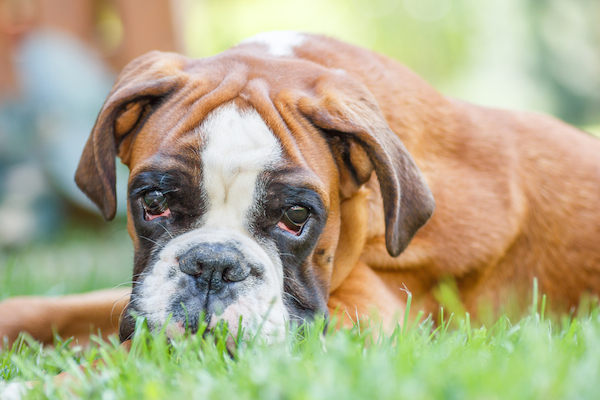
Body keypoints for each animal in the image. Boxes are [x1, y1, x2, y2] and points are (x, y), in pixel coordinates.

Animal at [1, 32, 600, 346]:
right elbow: (66, 308)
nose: (214, 265)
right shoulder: (139, 298)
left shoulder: (364, 318)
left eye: (295, 217)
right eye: (153, 202)